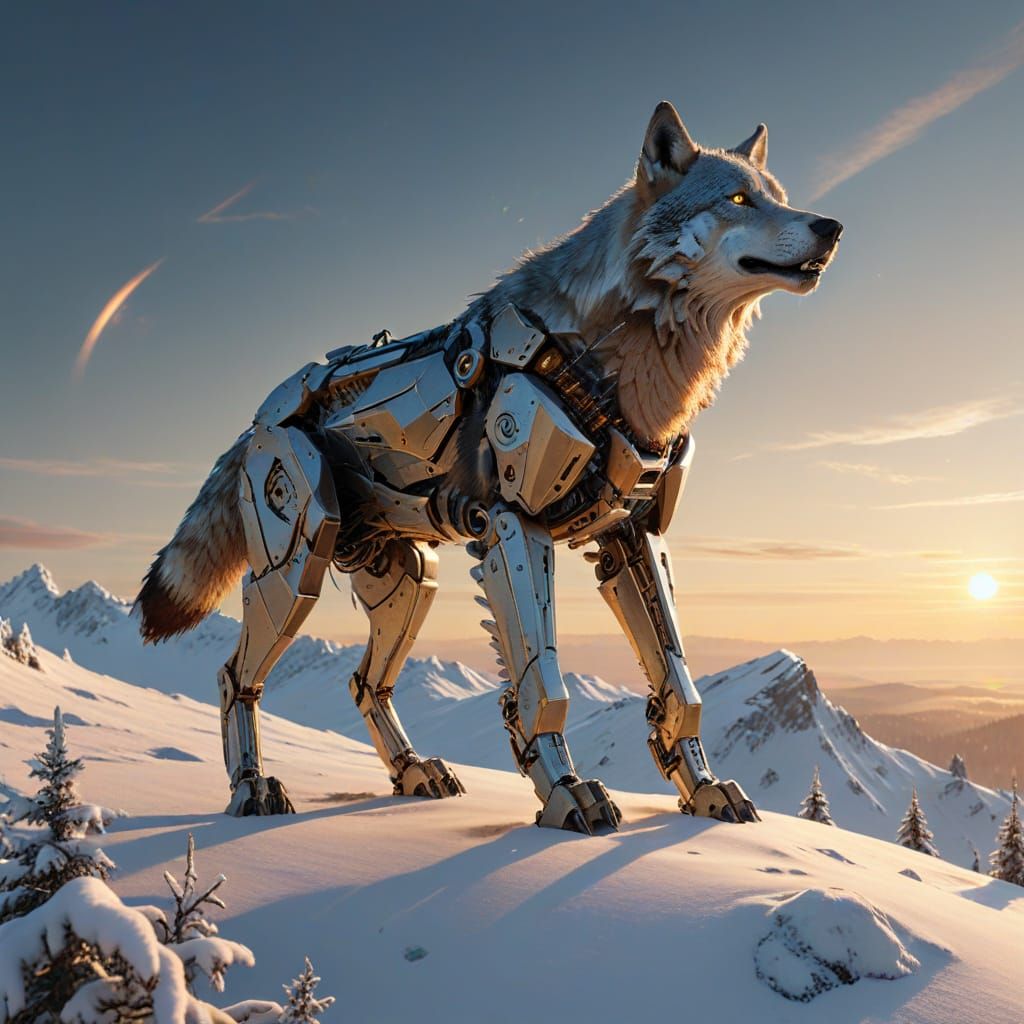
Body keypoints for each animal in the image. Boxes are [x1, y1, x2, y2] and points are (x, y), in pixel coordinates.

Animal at [136, 102, 841, 832]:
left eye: (778, 196)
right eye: (739, 200)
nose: (832, 228)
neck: (610, 356)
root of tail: (263, 412)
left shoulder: (631, 536)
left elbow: (680, 685)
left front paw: (703, 792)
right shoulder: (514, 526)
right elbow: (543, 687)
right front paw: (568, 794)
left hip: (412, 582)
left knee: (366, 682)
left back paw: (413, 772)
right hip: (298, 565)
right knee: (237, 676)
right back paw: (252, 788)